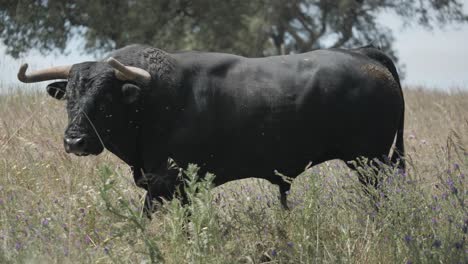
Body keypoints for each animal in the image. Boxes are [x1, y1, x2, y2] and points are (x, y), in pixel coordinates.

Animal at [19, 44, 406, 212]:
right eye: (69, 96)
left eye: (105, 99)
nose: (75, 140)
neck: (152, 102)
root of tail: (362, 54)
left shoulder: (172, 183)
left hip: (371, 163)